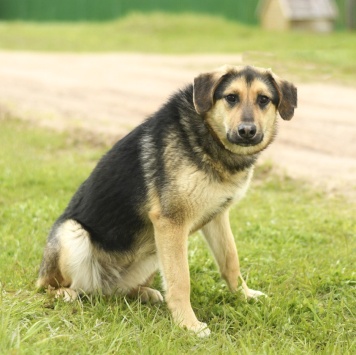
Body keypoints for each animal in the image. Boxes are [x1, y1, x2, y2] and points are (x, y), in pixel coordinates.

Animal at [36, 65, 298, 338]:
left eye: (263, 99)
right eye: (231, 98)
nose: (247, 131)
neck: (206, 134)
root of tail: (101, 287)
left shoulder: (216, 217)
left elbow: (230, 261)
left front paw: (244, 295)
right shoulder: (171, 223)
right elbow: (181, 280)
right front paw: (188, 324)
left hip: (152, 253)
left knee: (118, 291)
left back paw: (143, 292)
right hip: (72, 233)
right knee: (47, 285)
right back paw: (64, 292)